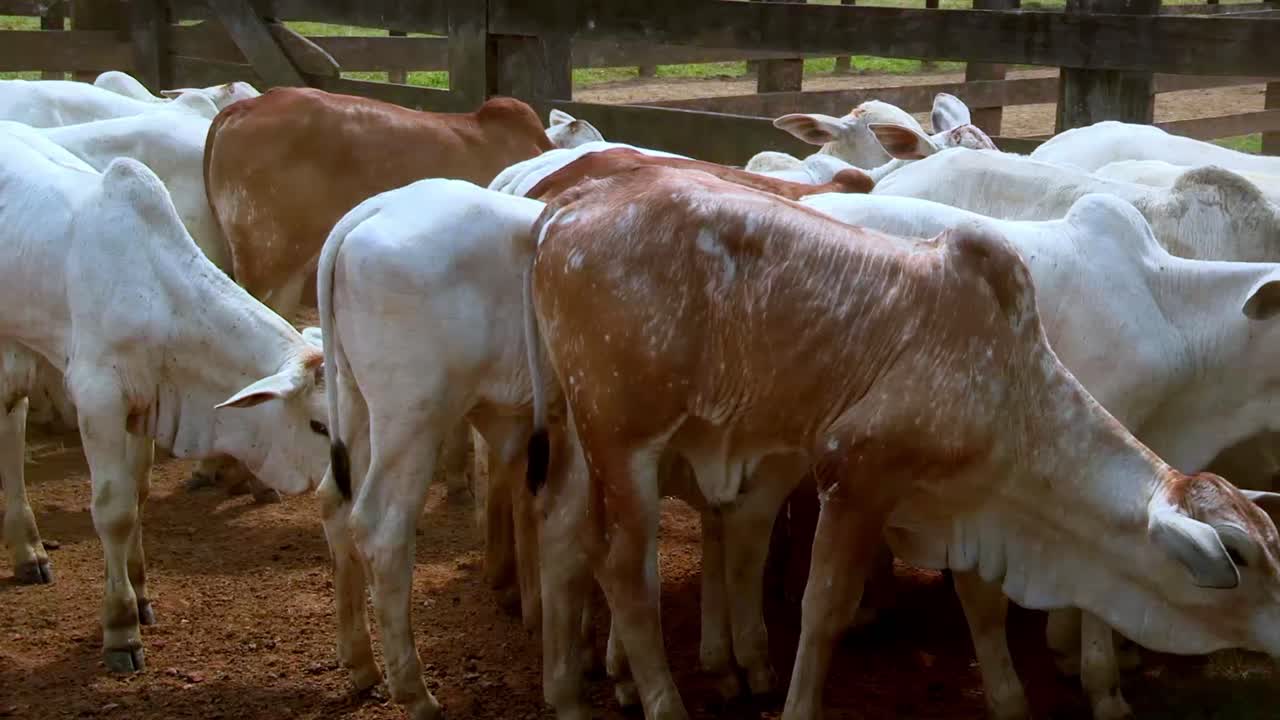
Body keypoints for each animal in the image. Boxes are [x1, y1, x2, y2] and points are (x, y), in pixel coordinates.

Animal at [0, 132, 331, 671]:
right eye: (319, 425)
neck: (160, 294)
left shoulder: (144, 403)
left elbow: (138, 496)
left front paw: (140, 593)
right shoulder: (98, 399)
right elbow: (113, 509)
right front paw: (120, 628)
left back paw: (28, 551)